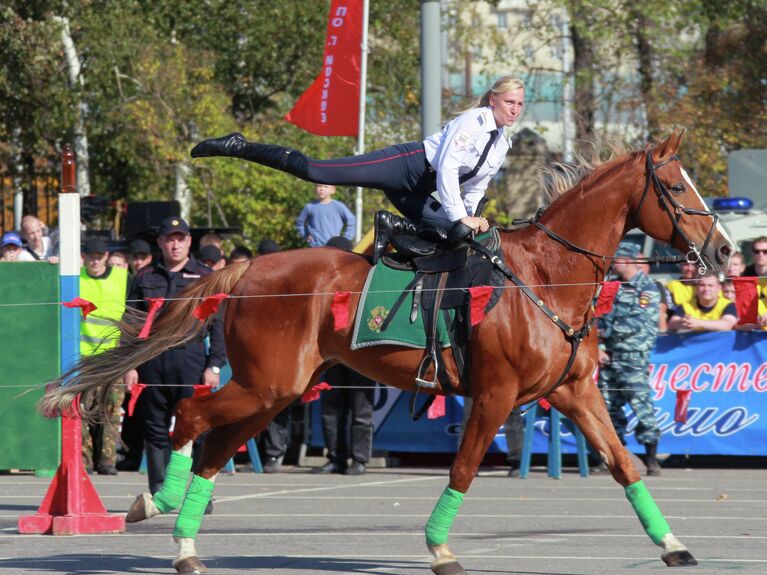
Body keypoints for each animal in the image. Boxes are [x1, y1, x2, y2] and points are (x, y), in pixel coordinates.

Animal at [43, 133, 732, 572]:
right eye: (676, 188)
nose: (724, 250)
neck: (544, 275)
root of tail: (244, 270)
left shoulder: (576, 392)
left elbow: (625, 465)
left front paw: (671, 545)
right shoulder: (495, 396)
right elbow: (463, 470)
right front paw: (440, 549)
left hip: (279, 392)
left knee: (214, 446)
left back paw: (186, 544)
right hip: (267, 386)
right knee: (190, 417)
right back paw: (155, 505)